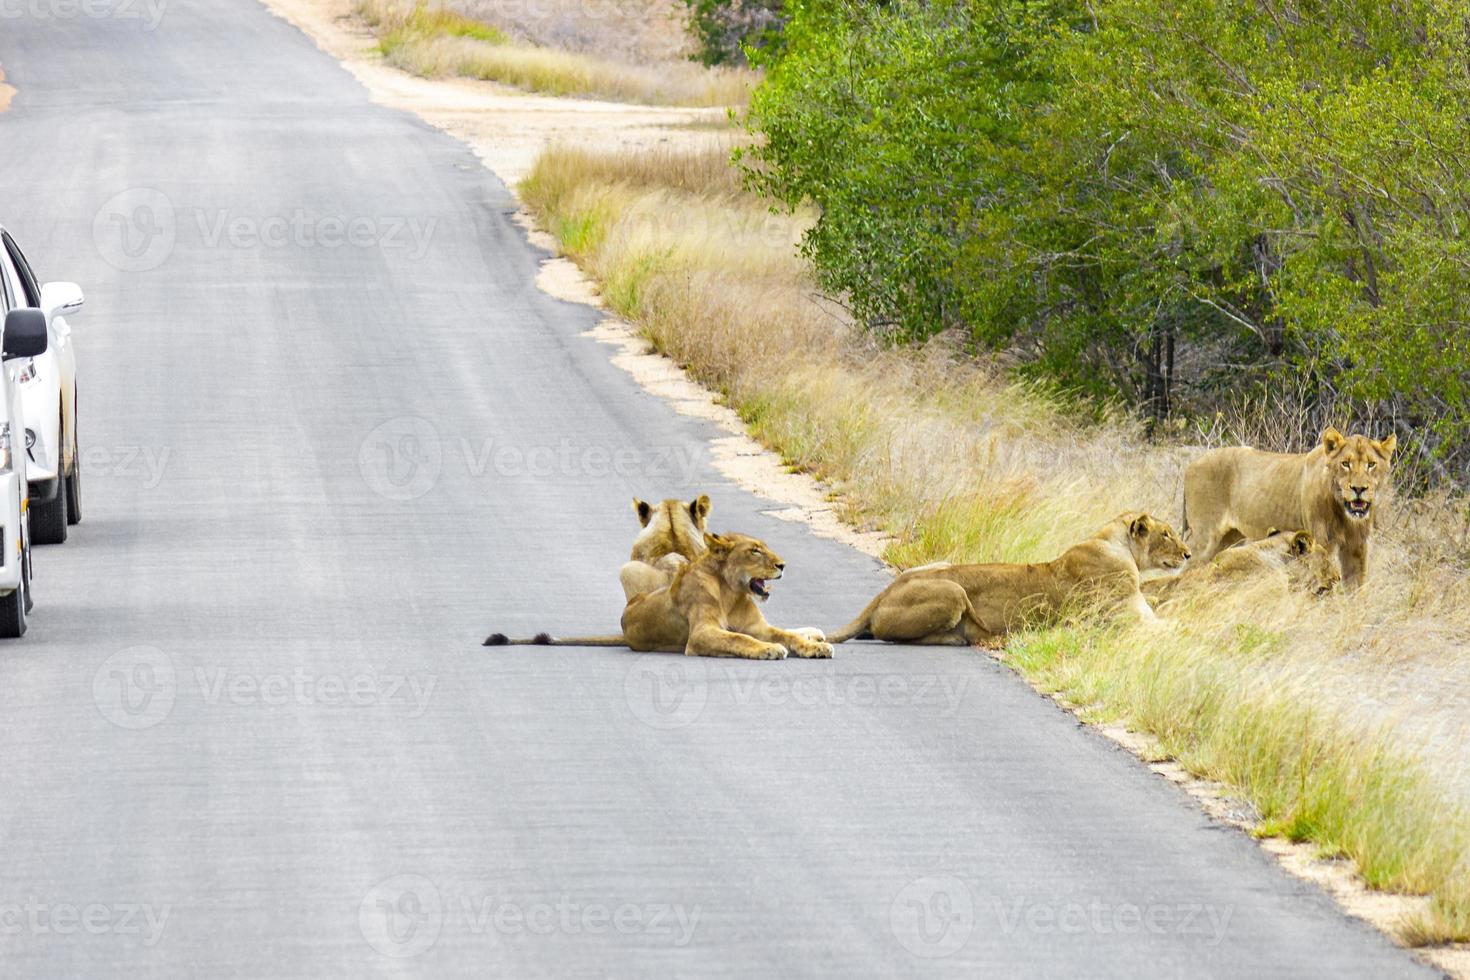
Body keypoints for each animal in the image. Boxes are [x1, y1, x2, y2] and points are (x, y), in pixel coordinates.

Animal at [482, 531, 829, 664]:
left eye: (766, 547)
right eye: (755, 551)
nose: (783, 565)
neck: (732, 591)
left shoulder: (759, 626)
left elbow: (784, 634)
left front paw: (813, 647)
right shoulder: (700, 635)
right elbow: (740, 639)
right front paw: (769, 650)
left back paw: (817, 634)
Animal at [834, 517, 1187, 646]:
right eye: (1166, 534)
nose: (1189, 554)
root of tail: (883, 594)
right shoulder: (1127, 619)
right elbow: (1175, 628)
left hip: (941, 565)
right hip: (954, 590)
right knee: (889, 636)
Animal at [1176, 426, 1393, 587]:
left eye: (1371, 464)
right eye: (1345, 464)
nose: (1359, 488)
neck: (1343, 513)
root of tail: (1191, 464)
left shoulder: (1357, 547)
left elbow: (1356, 590)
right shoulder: (1320, 541)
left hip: (1229, 539)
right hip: (1205, 539)